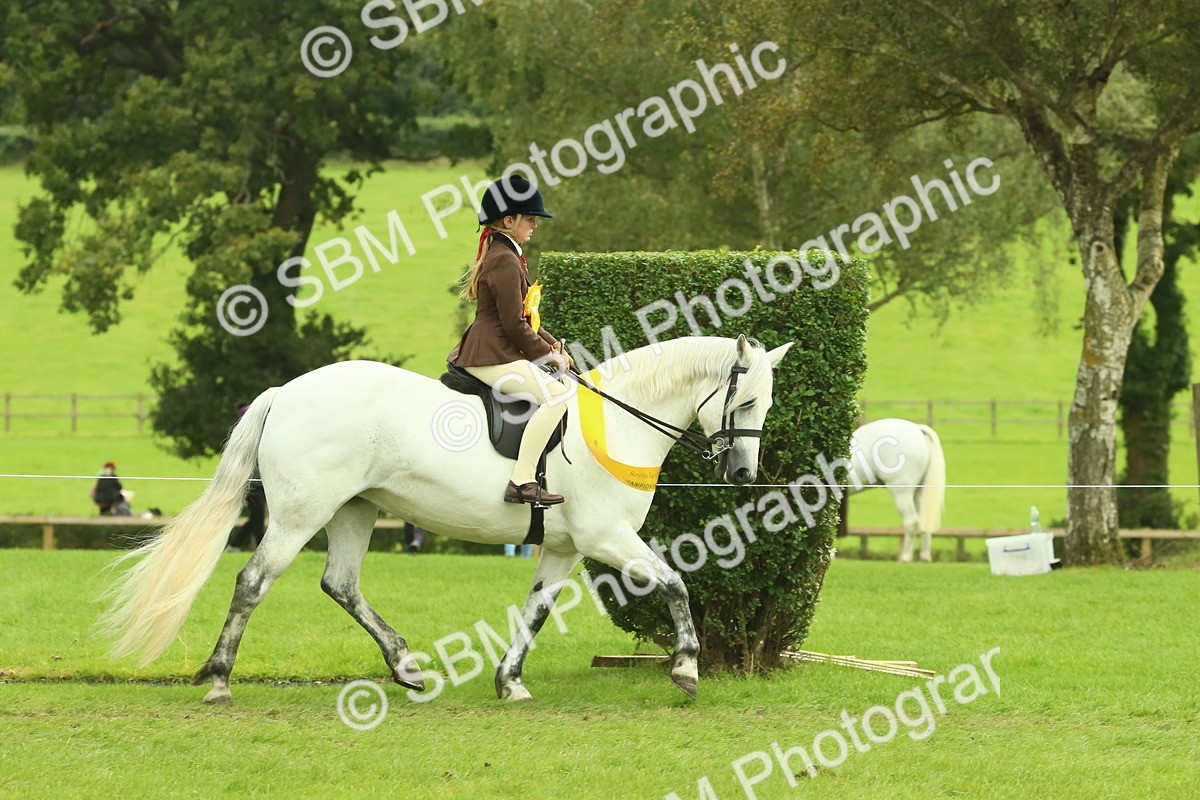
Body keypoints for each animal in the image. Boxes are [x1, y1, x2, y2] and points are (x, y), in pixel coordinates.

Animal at [102, 335, 793, 704]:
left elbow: (536, 611)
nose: (742, 475)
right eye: (747, 401)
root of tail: (288, 391)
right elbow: (676, 583)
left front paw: (510, 682)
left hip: (356, 509)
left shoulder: (566, 547)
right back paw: (219, 679)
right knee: (253, 581)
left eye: (768, 403)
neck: (618, 423)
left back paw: (406, 667)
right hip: (302, 513)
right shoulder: (607, 537)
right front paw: (686, 668)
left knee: (341, 584)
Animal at [837, 418, 946, 562]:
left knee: (911, 522)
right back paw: (924, 557)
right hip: (919, 493)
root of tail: (918, 429)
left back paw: (905, 558)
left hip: (902, 492)